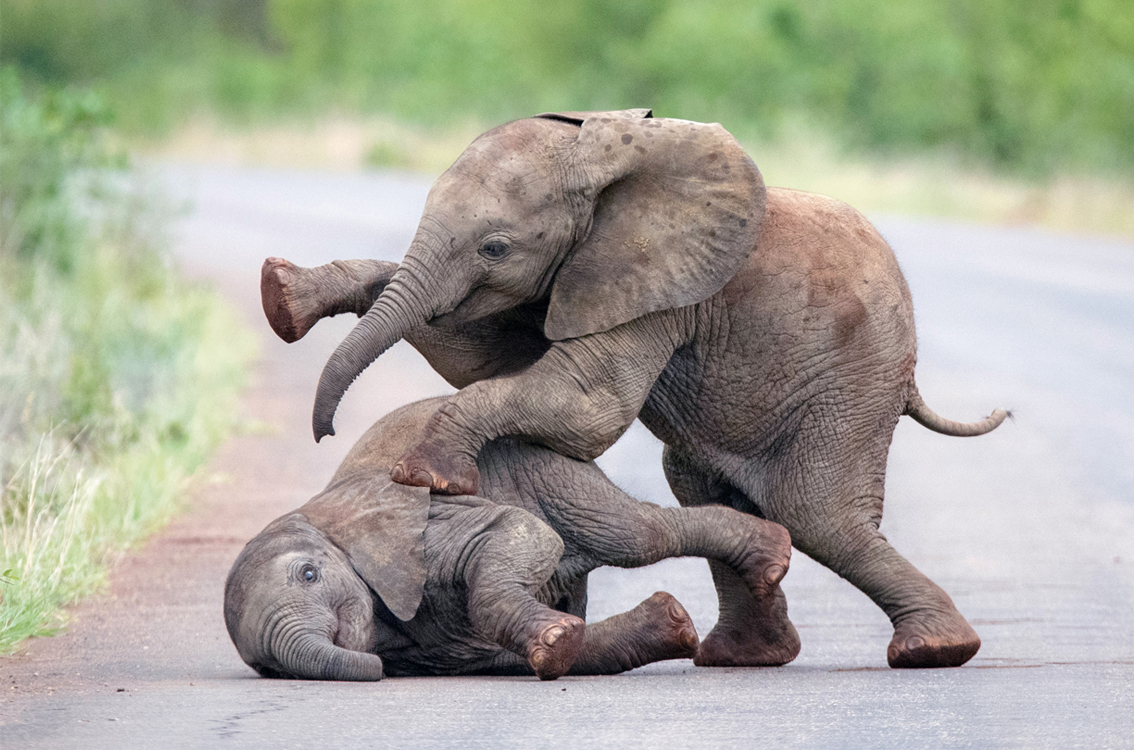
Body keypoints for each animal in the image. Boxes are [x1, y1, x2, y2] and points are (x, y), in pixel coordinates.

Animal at [218, 397, 789, 680]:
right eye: (268, 669)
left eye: (308, 574)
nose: (376, 670)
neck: (321, 517)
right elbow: (511, 653)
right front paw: (568, 641)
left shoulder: (430, 520)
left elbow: (523, 532)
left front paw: (556, 641)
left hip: (545, 468)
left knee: (639, 534)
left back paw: (772, 552)